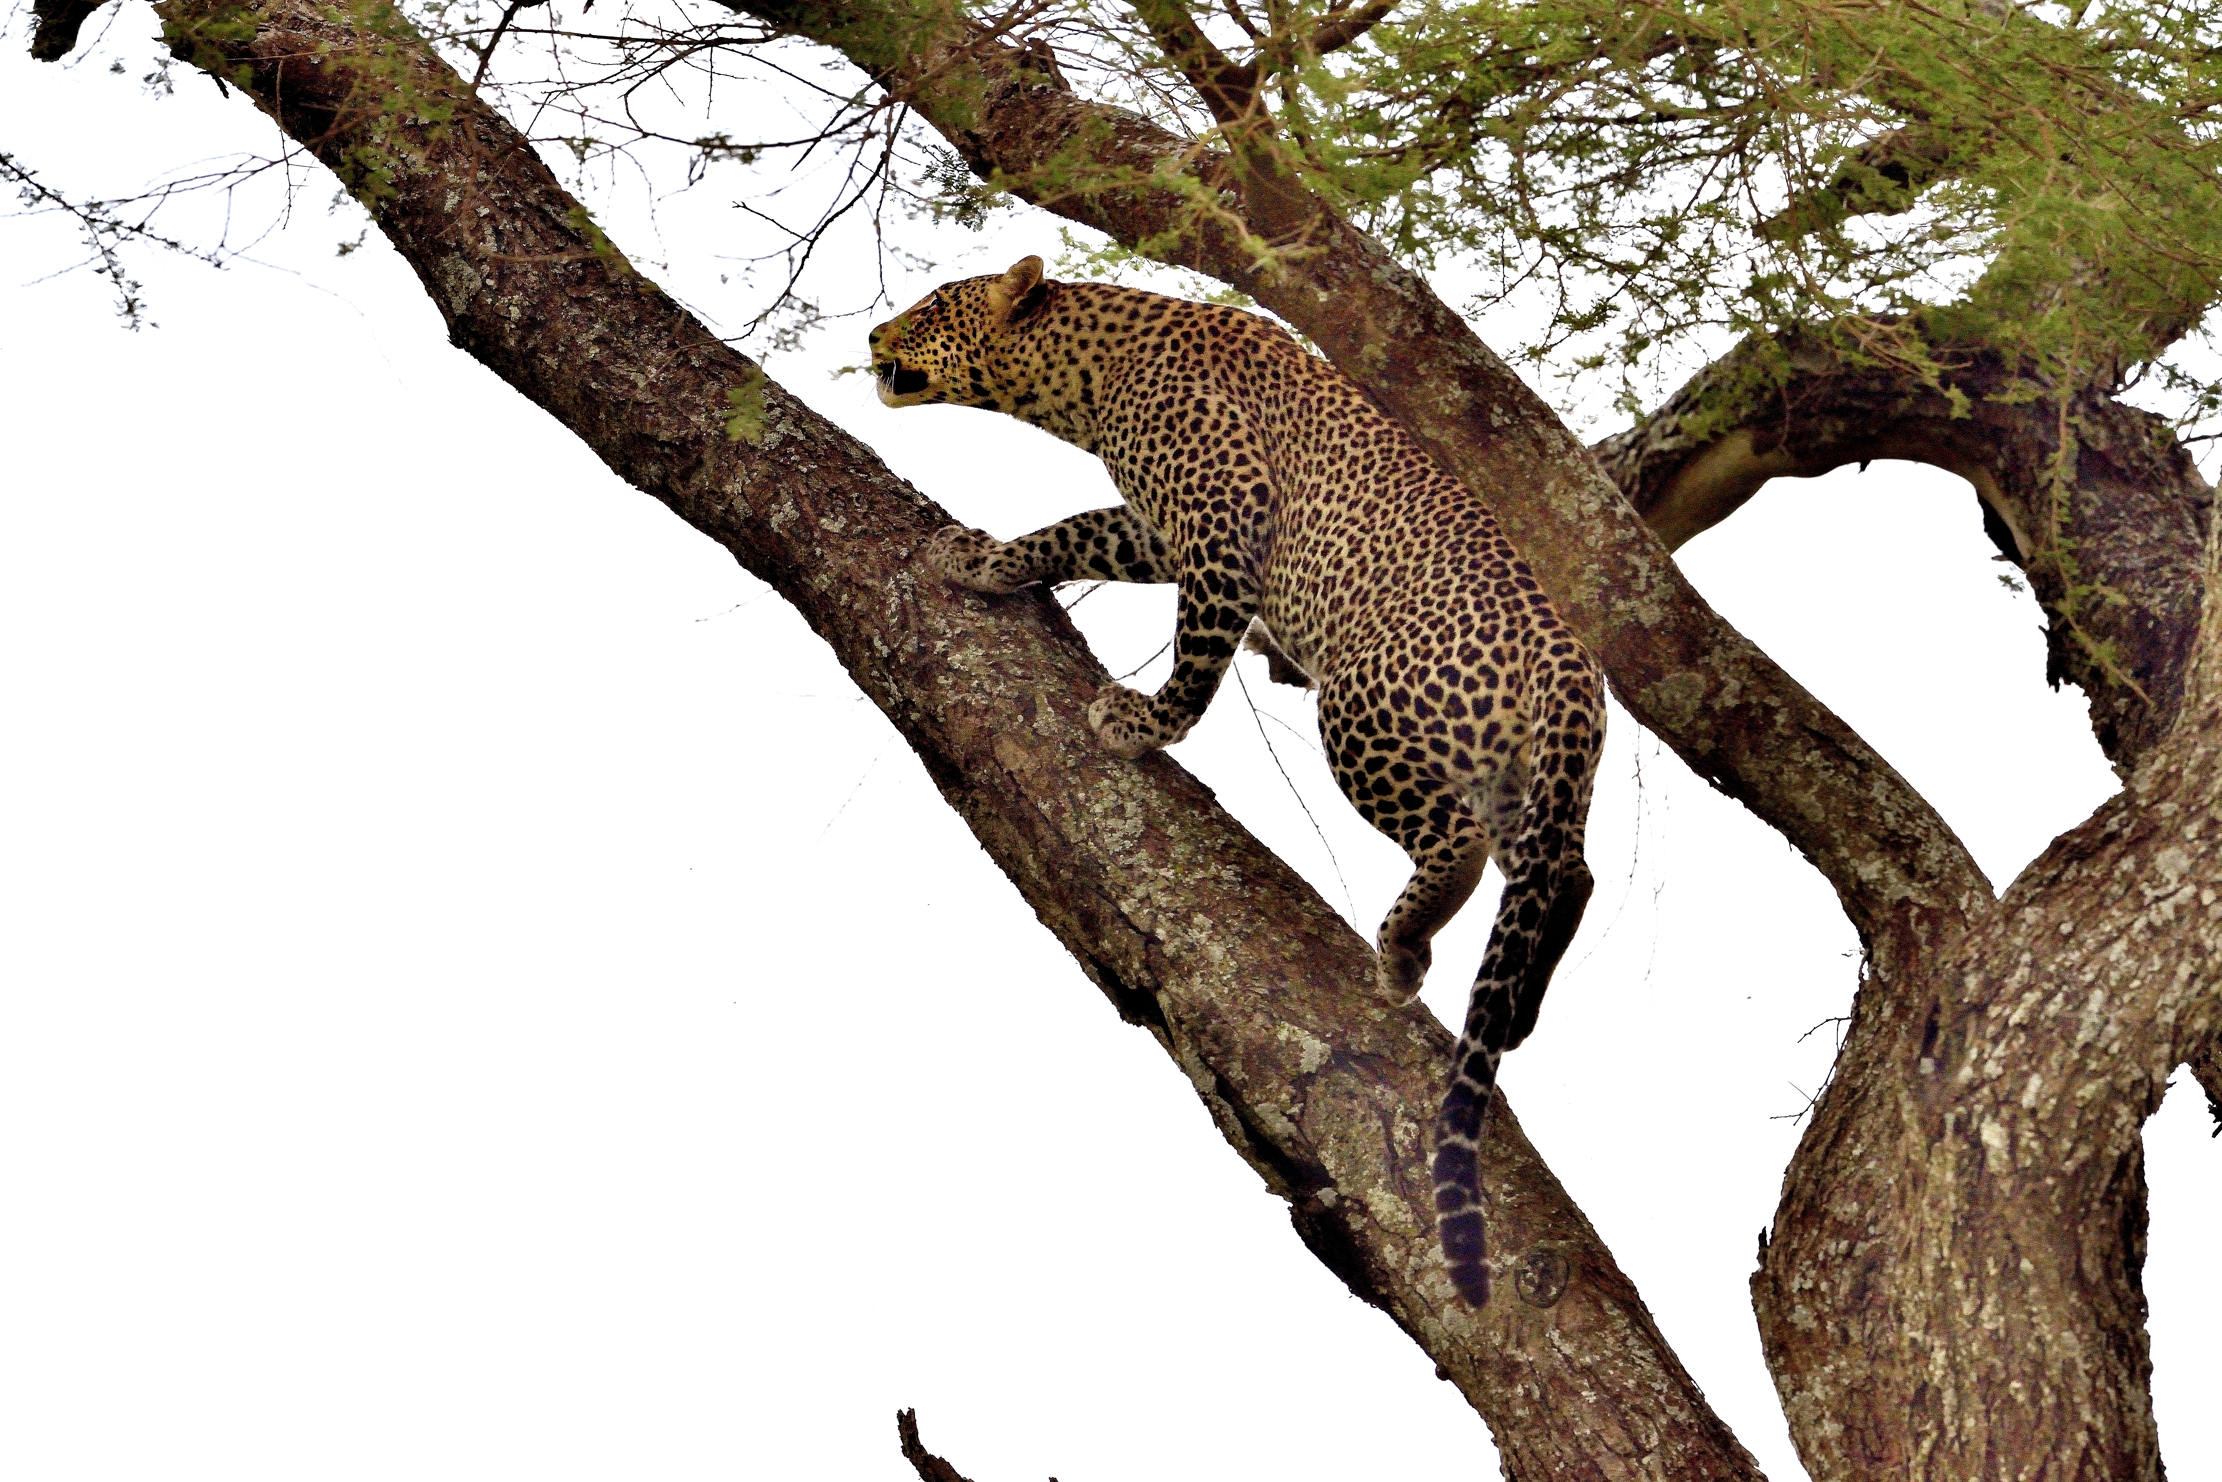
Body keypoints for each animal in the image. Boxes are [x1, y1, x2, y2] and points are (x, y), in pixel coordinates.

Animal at [869, 256, 1604, 1307]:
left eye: (931, 308)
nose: (871, 339)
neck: (1088, 372)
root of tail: (1570, 663)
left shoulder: (1222, 523)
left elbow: (1195, 662)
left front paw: (1141, 726)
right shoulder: (1151, 526)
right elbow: (1070, 530)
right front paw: (988, 564)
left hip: (1361, 708)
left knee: (1458, 846)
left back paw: (1402, 952)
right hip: (1531, 789)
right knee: (1565, 878)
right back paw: (1516, 1008)